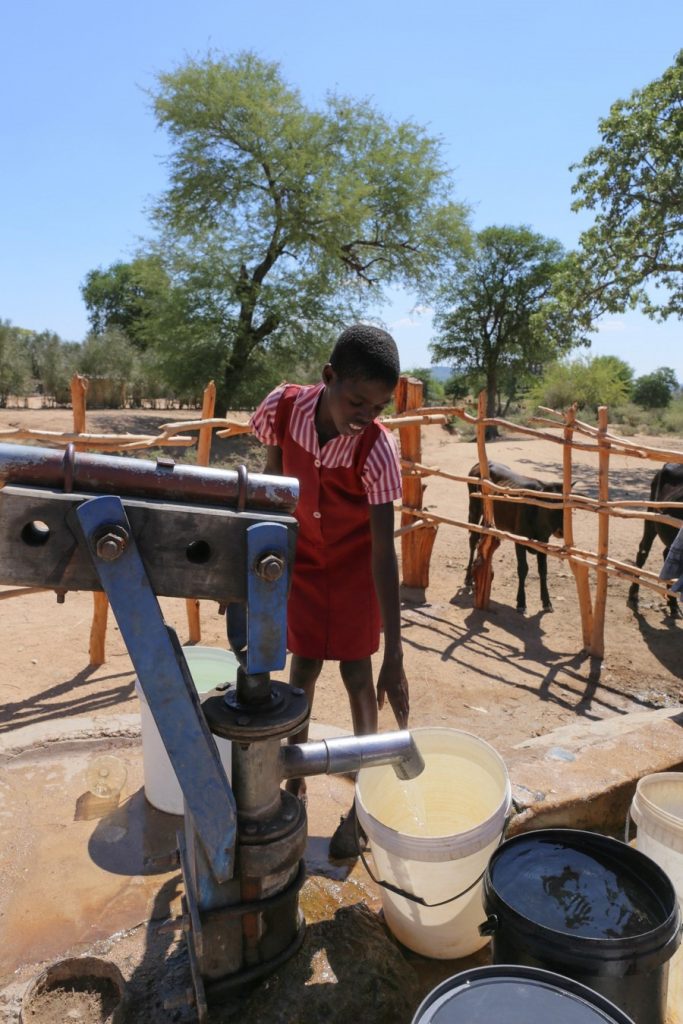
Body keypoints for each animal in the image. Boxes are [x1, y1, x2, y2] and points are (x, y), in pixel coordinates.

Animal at [464, 460, 565, 610]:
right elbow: (523, 569)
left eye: (566, 509)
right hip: (474, 508)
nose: (561, 531)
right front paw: (521, 601)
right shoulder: (519, 540)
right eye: (550, 505)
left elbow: (543, 570)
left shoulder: (544, 541)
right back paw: (468, 577)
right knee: (473, 539)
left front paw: (547, 601)